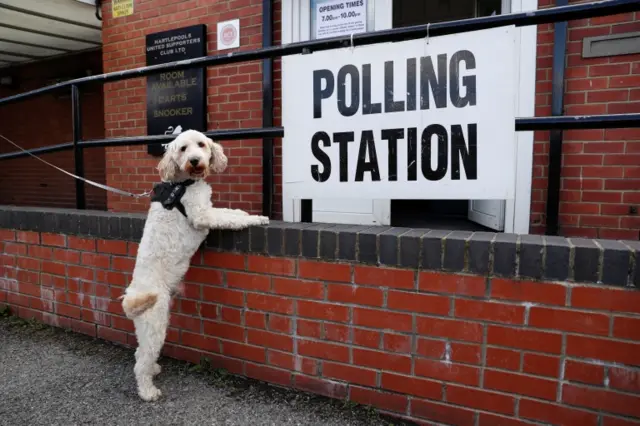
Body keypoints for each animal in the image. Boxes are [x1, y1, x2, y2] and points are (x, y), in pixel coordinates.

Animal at [119, 128, 268, 402]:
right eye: (182, 149)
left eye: (201, 144)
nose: (196, 160)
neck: (184, 184)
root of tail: (130, 297)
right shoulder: (202, 215)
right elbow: (229, 219)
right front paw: (257, 219)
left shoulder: (208, 208)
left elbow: (231, 212)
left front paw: (246, 214)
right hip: (155, 323)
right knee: (140, 362)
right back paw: (148, 391)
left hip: (148, 324)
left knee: (140, 353)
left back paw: (154, 370)